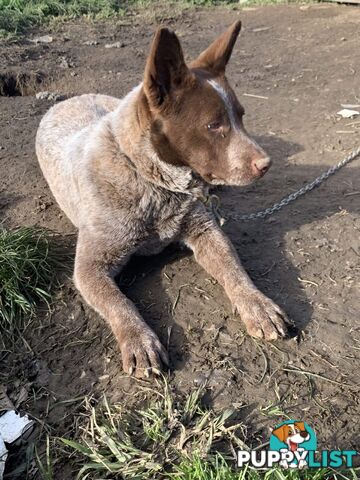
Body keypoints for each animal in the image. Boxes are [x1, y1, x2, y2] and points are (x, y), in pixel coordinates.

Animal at [35, 19, 290, 378]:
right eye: (214, 125)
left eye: (241, 116)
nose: (266, 164)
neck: (153, 182)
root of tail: (69, 99)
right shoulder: (90, 267)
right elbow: (120, 302)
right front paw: (139, 340)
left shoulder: (205, 230)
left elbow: (234, 268)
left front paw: (257, 304)